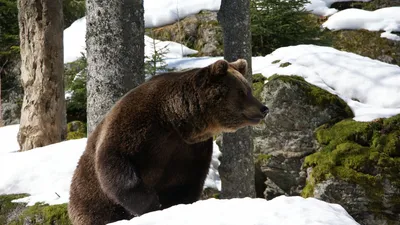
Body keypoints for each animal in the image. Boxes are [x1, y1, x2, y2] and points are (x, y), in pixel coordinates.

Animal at [68, 59, 268, 224]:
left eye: (248, 89)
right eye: (242, 91)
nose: (264, 108)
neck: (175, 120)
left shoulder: (189, 149)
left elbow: (185, 183)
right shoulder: (136, 126)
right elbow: (115, 163)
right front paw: (151, 204)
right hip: (89, 199)